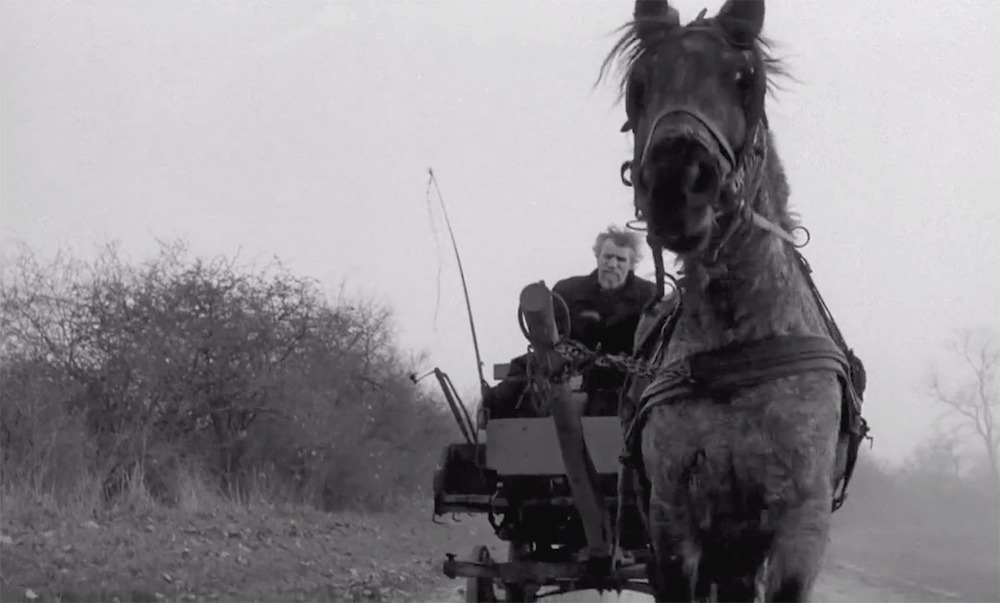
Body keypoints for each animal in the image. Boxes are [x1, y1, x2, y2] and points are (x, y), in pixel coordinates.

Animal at [600, 0, 868, 600]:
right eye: (638, 85)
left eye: (746, 81)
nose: (678, 183)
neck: (739, 340)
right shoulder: (671, 521)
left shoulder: (801, 524)